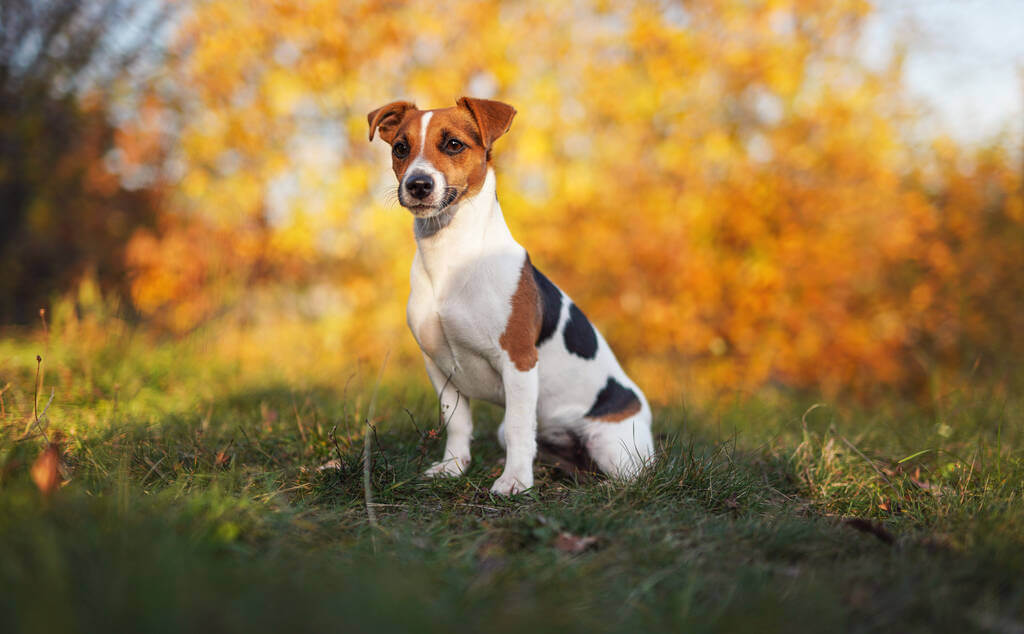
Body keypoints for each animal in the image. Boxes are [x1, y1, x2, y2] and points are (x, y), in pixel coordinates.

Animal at [370, 95, 655, 495]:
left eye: (453, 144)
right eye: (400, 148)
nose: (418, 184)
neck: (450, 257)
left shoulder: (518, 360)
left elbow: (522, 427)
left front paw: (515, 481)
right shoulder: (439, 365)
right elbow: (458, 423)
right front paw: (453, 467)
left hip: (611, 444)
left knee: (628, 478)